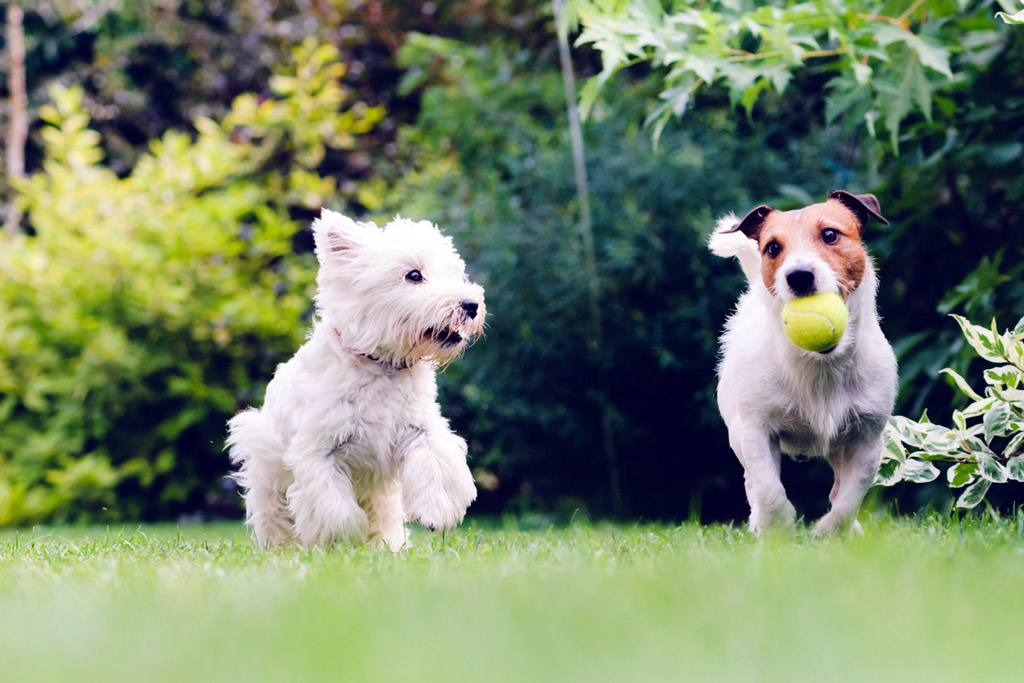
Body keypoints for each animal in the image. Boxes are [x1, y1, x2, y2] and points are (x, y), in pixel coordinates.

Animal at [230, 210, 485, 552]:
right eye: (414, 275)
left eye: (456, 274)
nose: (471, 305)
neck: (381, 365)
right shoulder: (318, 450)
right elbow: (335, 508)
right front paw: (343, 540)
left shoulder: (419, 428)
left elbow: (435, 461)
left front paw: (434, 512)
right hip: (267, 467)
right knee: (274, 515)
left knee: (383, 518)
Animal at [712, 191, 897, 532]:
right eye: (772, 248)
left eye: (830, 235)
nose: (798, 276)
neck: (820, 364)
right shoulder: (755, 432)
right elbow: (768, 487)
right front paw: (778, 525)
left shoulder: (867, 439)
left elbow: (851, 496)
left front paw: (830, 530)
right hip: (738, 435)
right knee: (752, 482)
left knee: (839, 488)